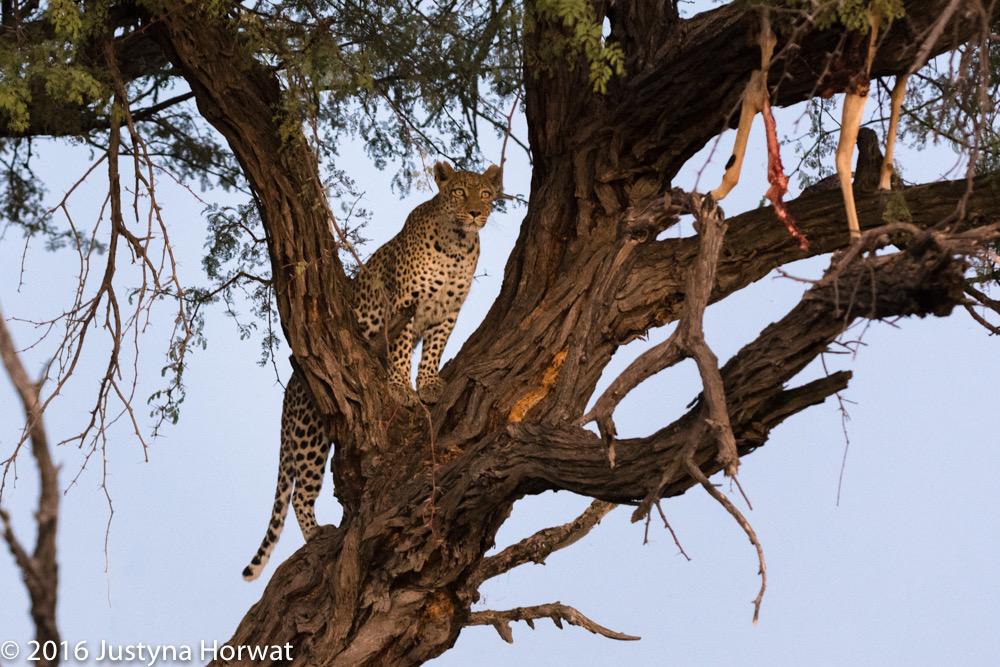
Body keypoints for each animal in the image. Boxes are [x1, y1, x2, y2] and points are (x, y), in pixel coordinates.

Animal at [242, 162, 500, 580]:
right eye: (460, 192)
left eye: (487, 194)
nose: (477, 213)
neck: (458, 245)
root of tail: (290, 389)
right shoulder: (404, 305)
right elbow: (400, 351)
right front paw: (400, 387)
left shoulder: (447, 312)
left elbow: (433, 349)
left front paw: (428, 383)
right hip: (310, 430)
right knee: (299, 491)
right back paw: (316, 535)